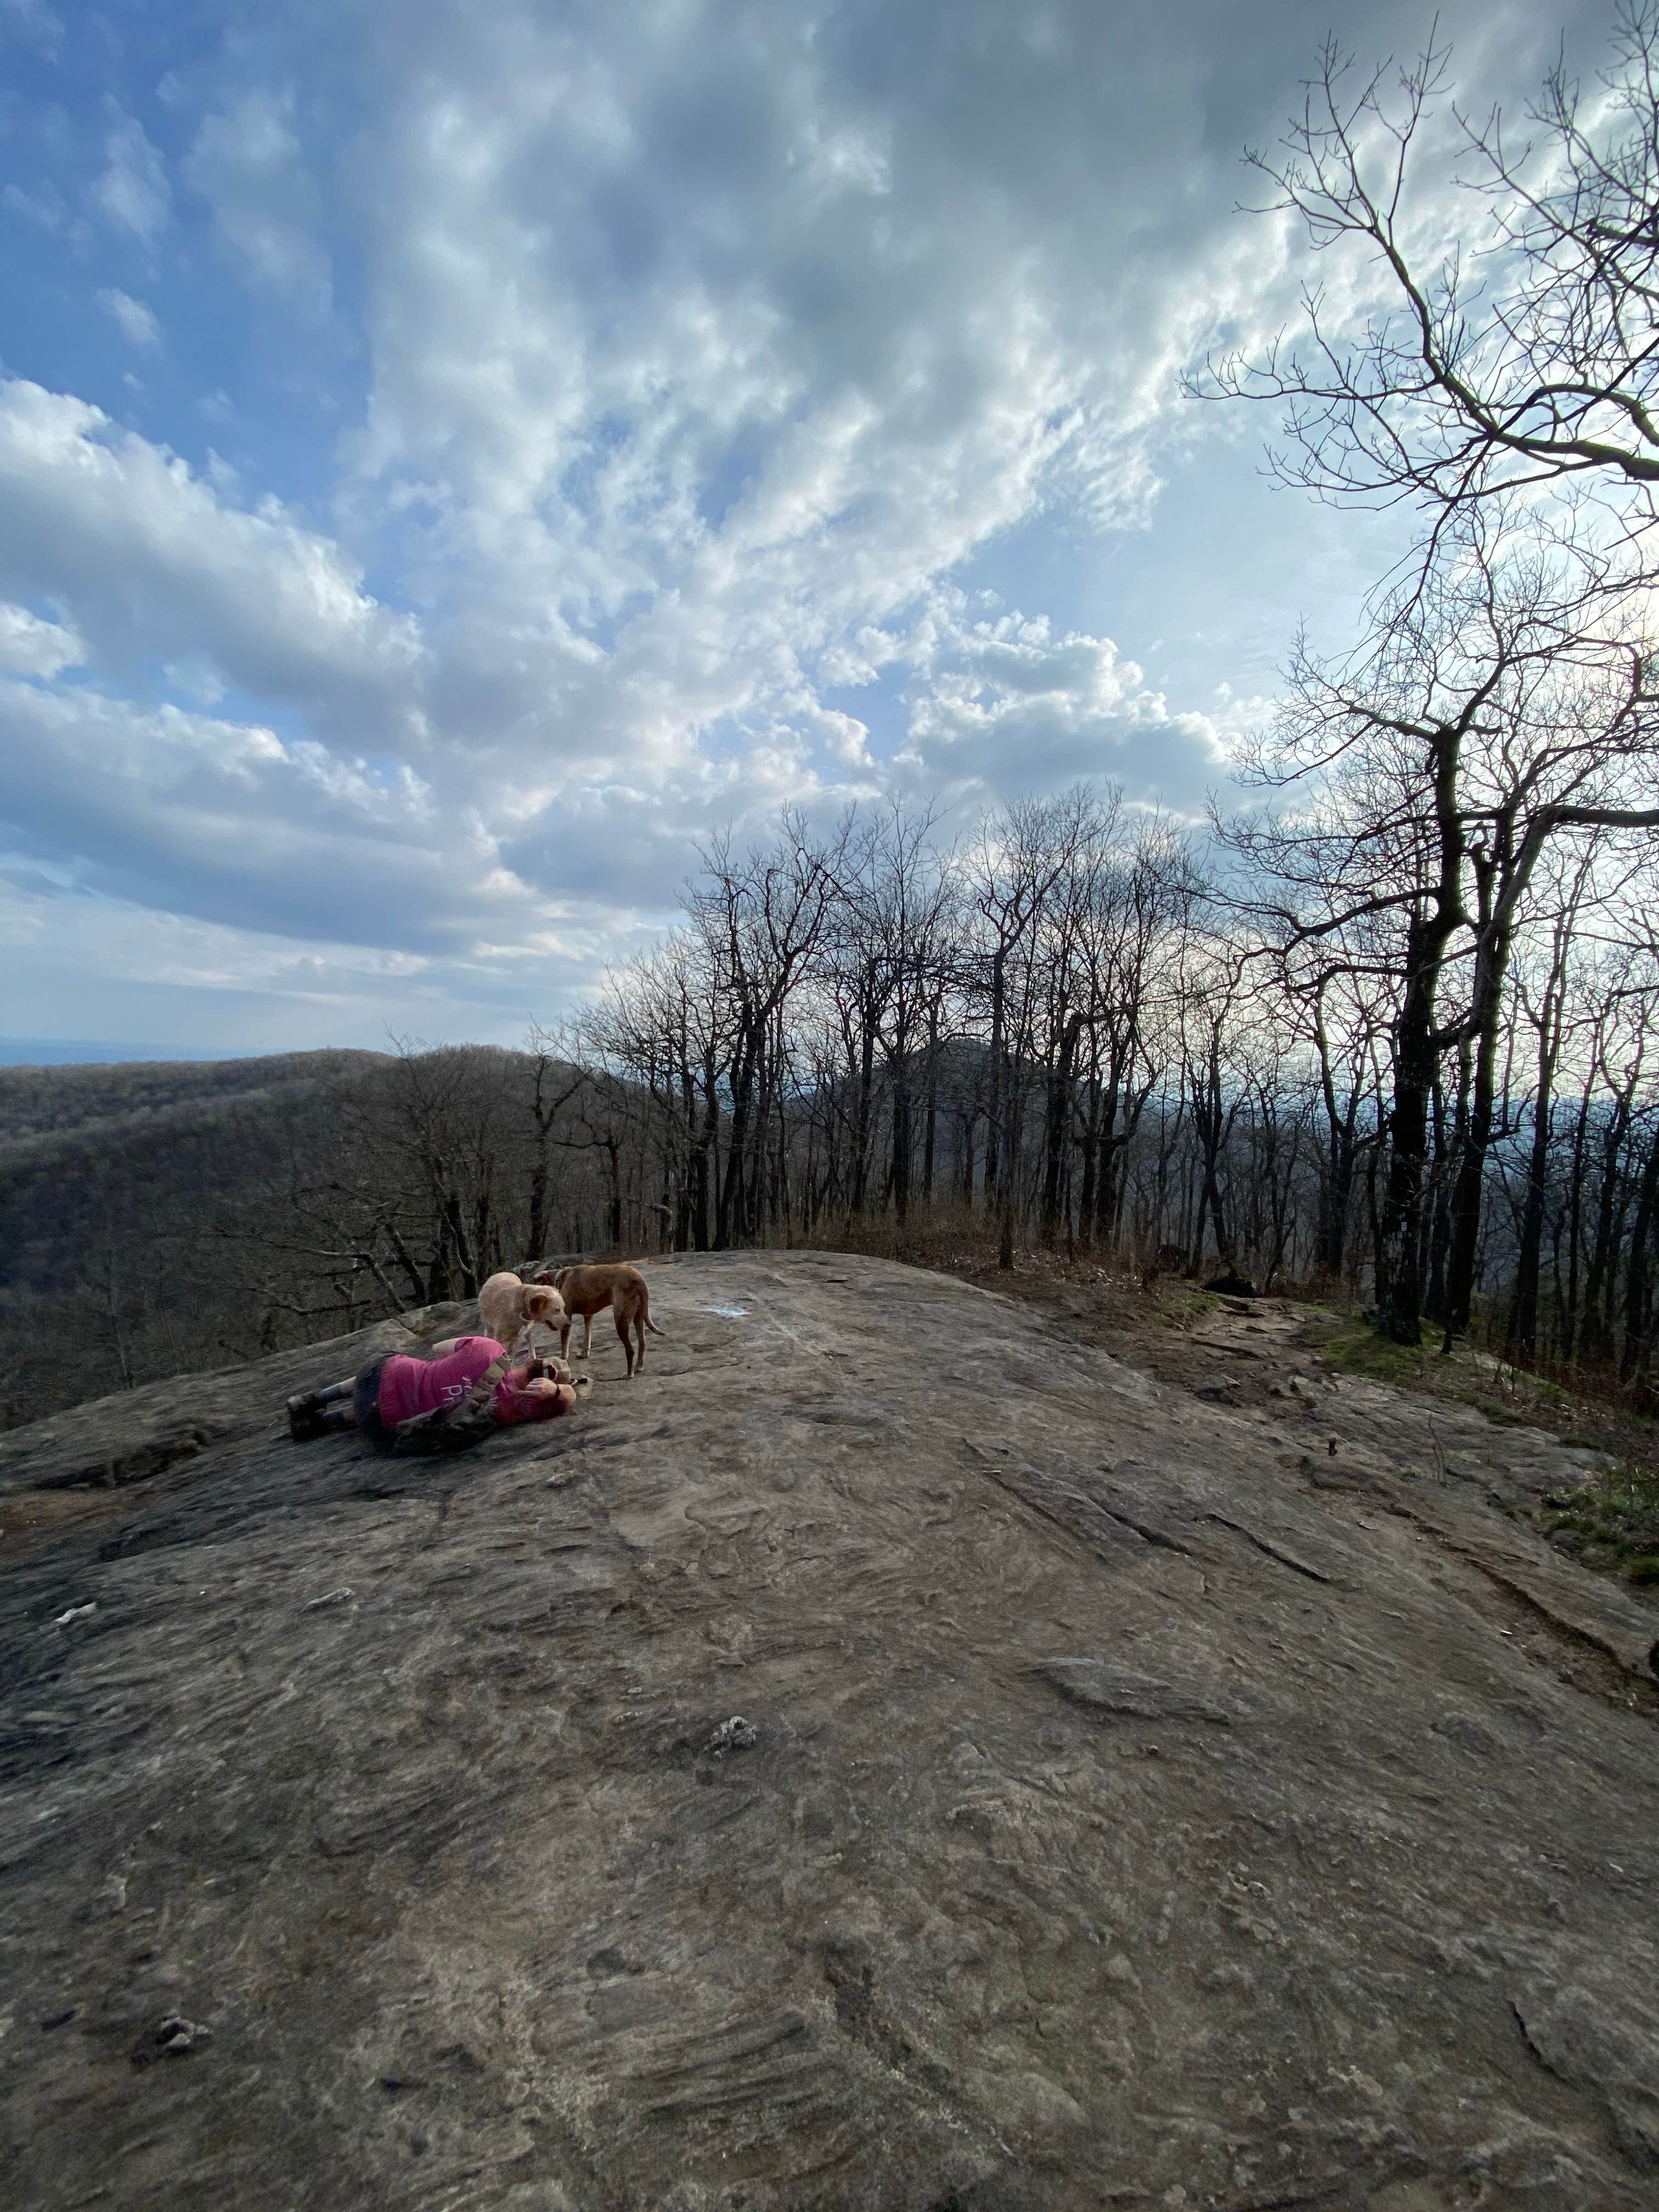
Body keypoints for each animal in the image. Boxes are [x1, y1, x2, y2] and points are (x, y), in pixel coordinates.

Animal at [477, 1274, 571, 1353]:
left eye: (563, 1308)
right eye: (557, 1310)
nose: (568, 1325)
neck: (522, 1303)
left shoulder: (518, 1338)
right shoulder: (501, 1339)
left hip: (526, 1332)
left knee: (531, 1345)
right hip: (490, 1327)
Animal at [546, 1274, 663, 1371]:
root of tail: (640, 1280)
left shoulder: (567, 1315)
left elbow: (564, 1341)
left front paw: (562, 1359)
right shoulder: (588, 1315)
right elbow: (587, 1336)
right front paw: (584, 1355)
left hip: (622, 1320)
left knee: (630, 1350)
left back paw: (629, 1374)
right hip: (639, 1315)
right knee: (642, 1342)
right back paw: (639, 1366)